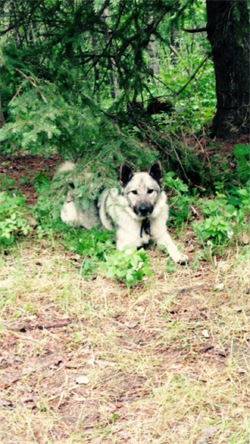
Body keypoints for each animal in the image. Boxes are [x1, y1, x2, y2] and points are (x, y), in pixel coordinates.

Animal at [57, 160, 188, 262]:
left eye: (150, 191)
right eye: (134, 192)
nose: (144, 209)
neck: (144, 222)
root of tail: (75, 186)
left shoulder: (162, 235)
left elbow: (171, 244)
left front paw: (178, 255)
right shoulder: (126, 246)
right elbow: (135, 256)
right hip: (71, 219)